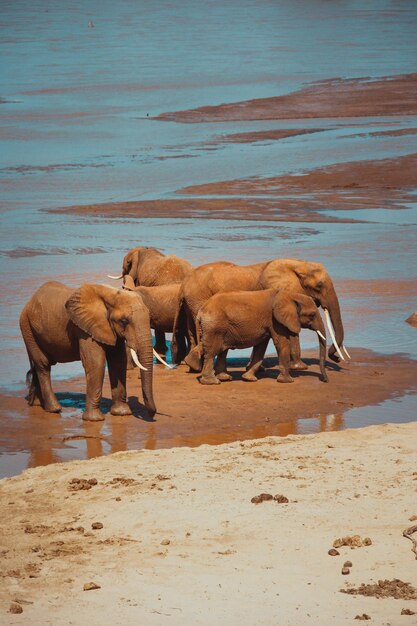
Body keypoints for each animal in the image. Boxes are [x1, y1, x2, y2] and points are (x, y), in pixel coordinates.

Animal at [19, 282, 156, 420]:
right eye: (124, 321)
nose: (152, 414)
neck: (110, 293)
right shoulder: (86, 328)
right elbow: (96, 363)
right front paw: (94, 419)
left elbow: (118, 362)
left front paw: (122, 413)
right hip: (27, 328)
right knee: (43, 365)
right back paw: (54, 408)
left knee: (39, 366)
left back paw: (36, 404)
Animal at [170, 255, 348, 368]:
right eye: (319, 286)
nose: (336, 358)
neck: (298, 264)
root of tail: (183, 285)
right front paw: (300, 367)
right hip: (198, 298)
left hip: (191, 303)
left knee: (192, 330)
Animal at [197, 288, 326, 386]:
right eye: (312, 315)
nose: (325, 380)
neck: (289, 295)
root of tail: (201, 310)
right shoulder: (275, 320)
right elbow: (282, 343)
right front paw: (288, 381)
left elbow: (261, 347)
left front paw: (248, 378)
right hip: (214, 326)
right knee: (212, 352)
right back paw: (212, 382)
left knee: (223, 350)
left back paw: (224, 377)